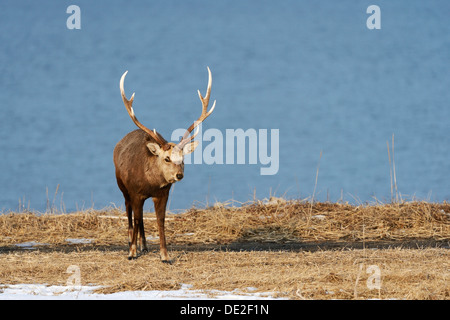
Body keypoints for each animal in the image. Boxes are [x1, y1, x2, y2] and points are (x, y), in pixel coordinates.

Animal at [114, 67, 216, 260]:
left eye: (183, 158)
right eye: (166, 158)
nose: (179, 175)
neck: (150, 183)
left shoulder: (163, 194)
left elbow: (160, 221)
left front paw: (165, 256)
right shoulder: (135, 192)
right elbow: (136, 219)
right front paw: (132, 252)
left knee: (140, 218)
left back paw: (144, 246)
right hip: (122, 187)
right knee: (130, 214)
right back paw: (133, 245)